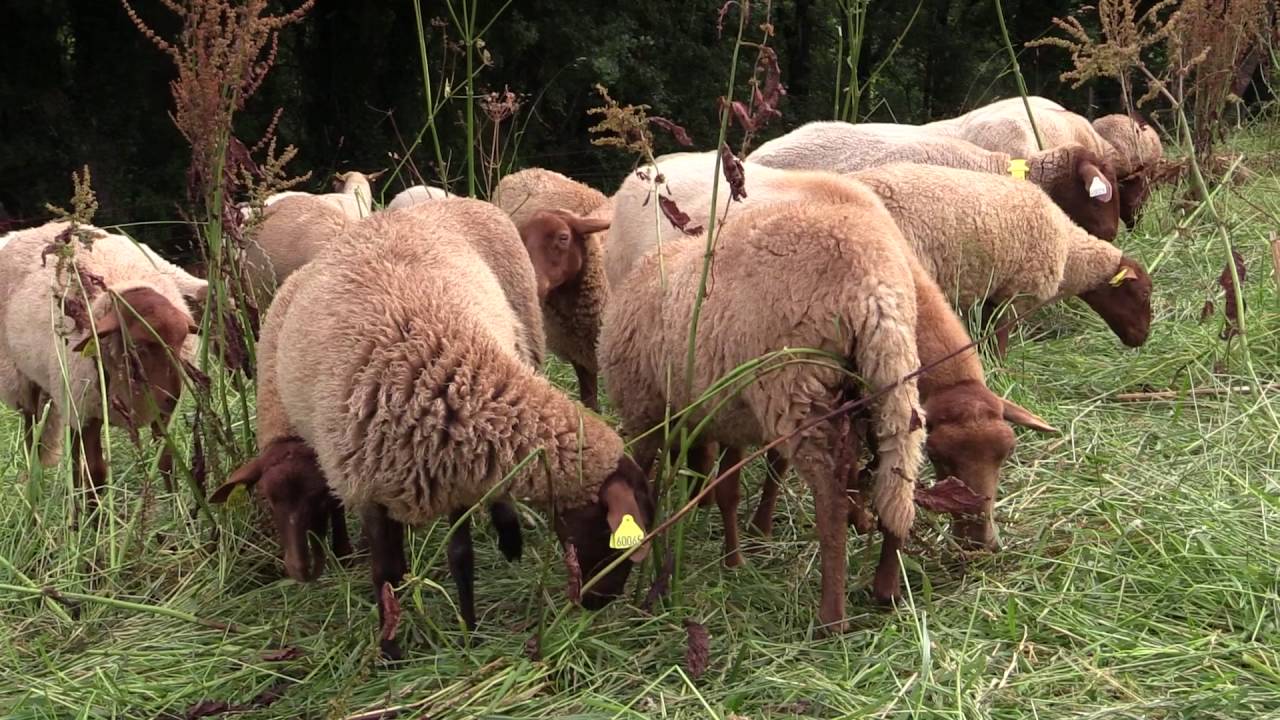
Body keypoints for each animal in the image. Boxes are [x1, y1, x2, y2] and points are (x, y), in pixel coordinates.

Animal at [0, 222, 200, 509]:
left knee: (72, 456)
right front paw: (96, 517)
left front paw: (175, 509)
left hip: (64, 396)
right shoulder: (88, 414)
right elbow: (96, 474)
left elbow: (167, 462)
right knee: (33, 439)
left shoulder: (160, 416)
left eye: (182, 339)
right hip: (26, 383)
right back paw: (37, 498)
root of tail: (25, 231)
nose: (172, 396)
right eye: (137, 345)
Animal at [210, 198, 652, 659]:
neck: (443, 383)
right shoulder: (374, 487)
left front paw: (469, 633)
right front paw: (390, 651)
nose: (599, 602)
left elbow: (461, 557)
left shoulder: (459, 468)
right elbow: (387, 572)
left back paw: (510, 540)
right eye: (610, 529)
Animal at [493, 168, 611, 409]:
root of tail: (527, 171)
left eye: (563, 237)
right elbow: (590, 401)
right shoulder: (580, 354)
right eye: (521, 239)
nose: (531, 282)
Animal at [602, 186, 928, 624]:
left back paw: (831, 616)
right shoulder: (726, 413)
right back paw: (887, 587)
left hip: (794, 384)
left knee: (829, 492)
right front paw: (731, 556)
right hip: (890, 370)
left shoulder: (645, 411)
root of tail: (872, 284)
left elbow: (643, 477)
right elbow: (726, 487)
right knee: (897, 473)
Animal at [848, 163, 1153, 355]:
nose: (1143, 339)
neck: (1069, 252)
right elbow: (999, 341)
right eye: (1142, 294)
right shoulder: (1016, 294)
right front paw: (1000, 372)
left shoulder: (993, 295)